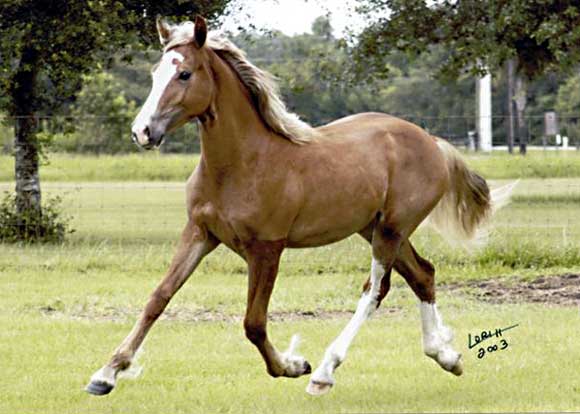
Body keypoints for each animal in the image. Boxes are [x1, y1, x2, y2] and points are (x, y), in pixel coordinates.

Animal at [86, 16, 510, 397]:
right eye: (155, 72)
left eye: (185, 74)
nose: (142, 132)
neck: (242, 163)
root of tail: (430, 140)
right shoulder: (199, 233)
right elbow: (158, 299)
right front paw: (106, 374)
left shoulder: (267, 249)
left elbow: (253, 322)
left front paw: (292, 365)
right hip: (374, 227)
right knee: (422, 274)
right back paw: (446, 356)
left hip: (391, 229)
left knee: (375, 287)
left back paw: (323, 372)